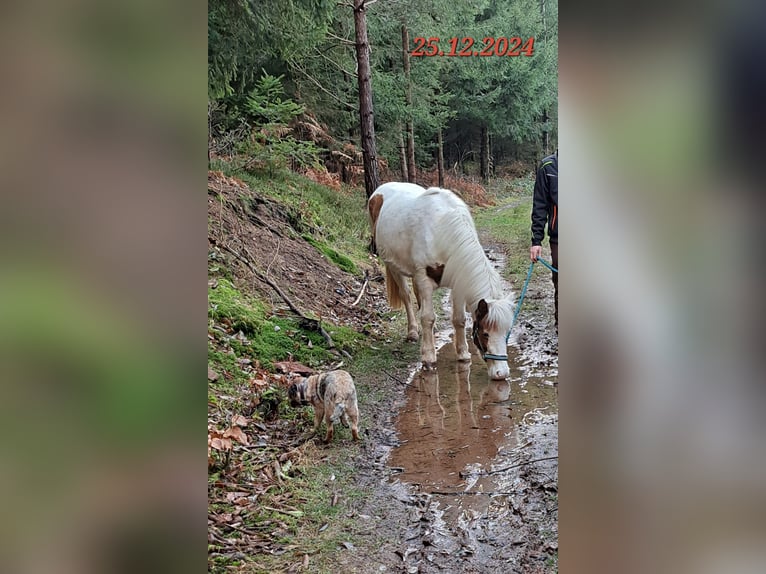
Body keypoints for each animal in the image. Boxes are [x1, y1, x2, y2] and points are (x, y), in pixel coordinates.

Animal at [368, 182, 515, 380]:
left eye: (507, 332)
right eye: (485, 334)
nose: (501, 373)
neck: (442, 230)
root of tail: (379, 191)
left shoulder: (458, 282)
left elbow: (459, 319)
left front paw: (463, 354)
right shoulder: (424, 279)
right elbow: (428, 317)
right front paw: (428, 357)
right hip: (392, 266)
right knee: (406, 296)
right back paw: (413, 331)